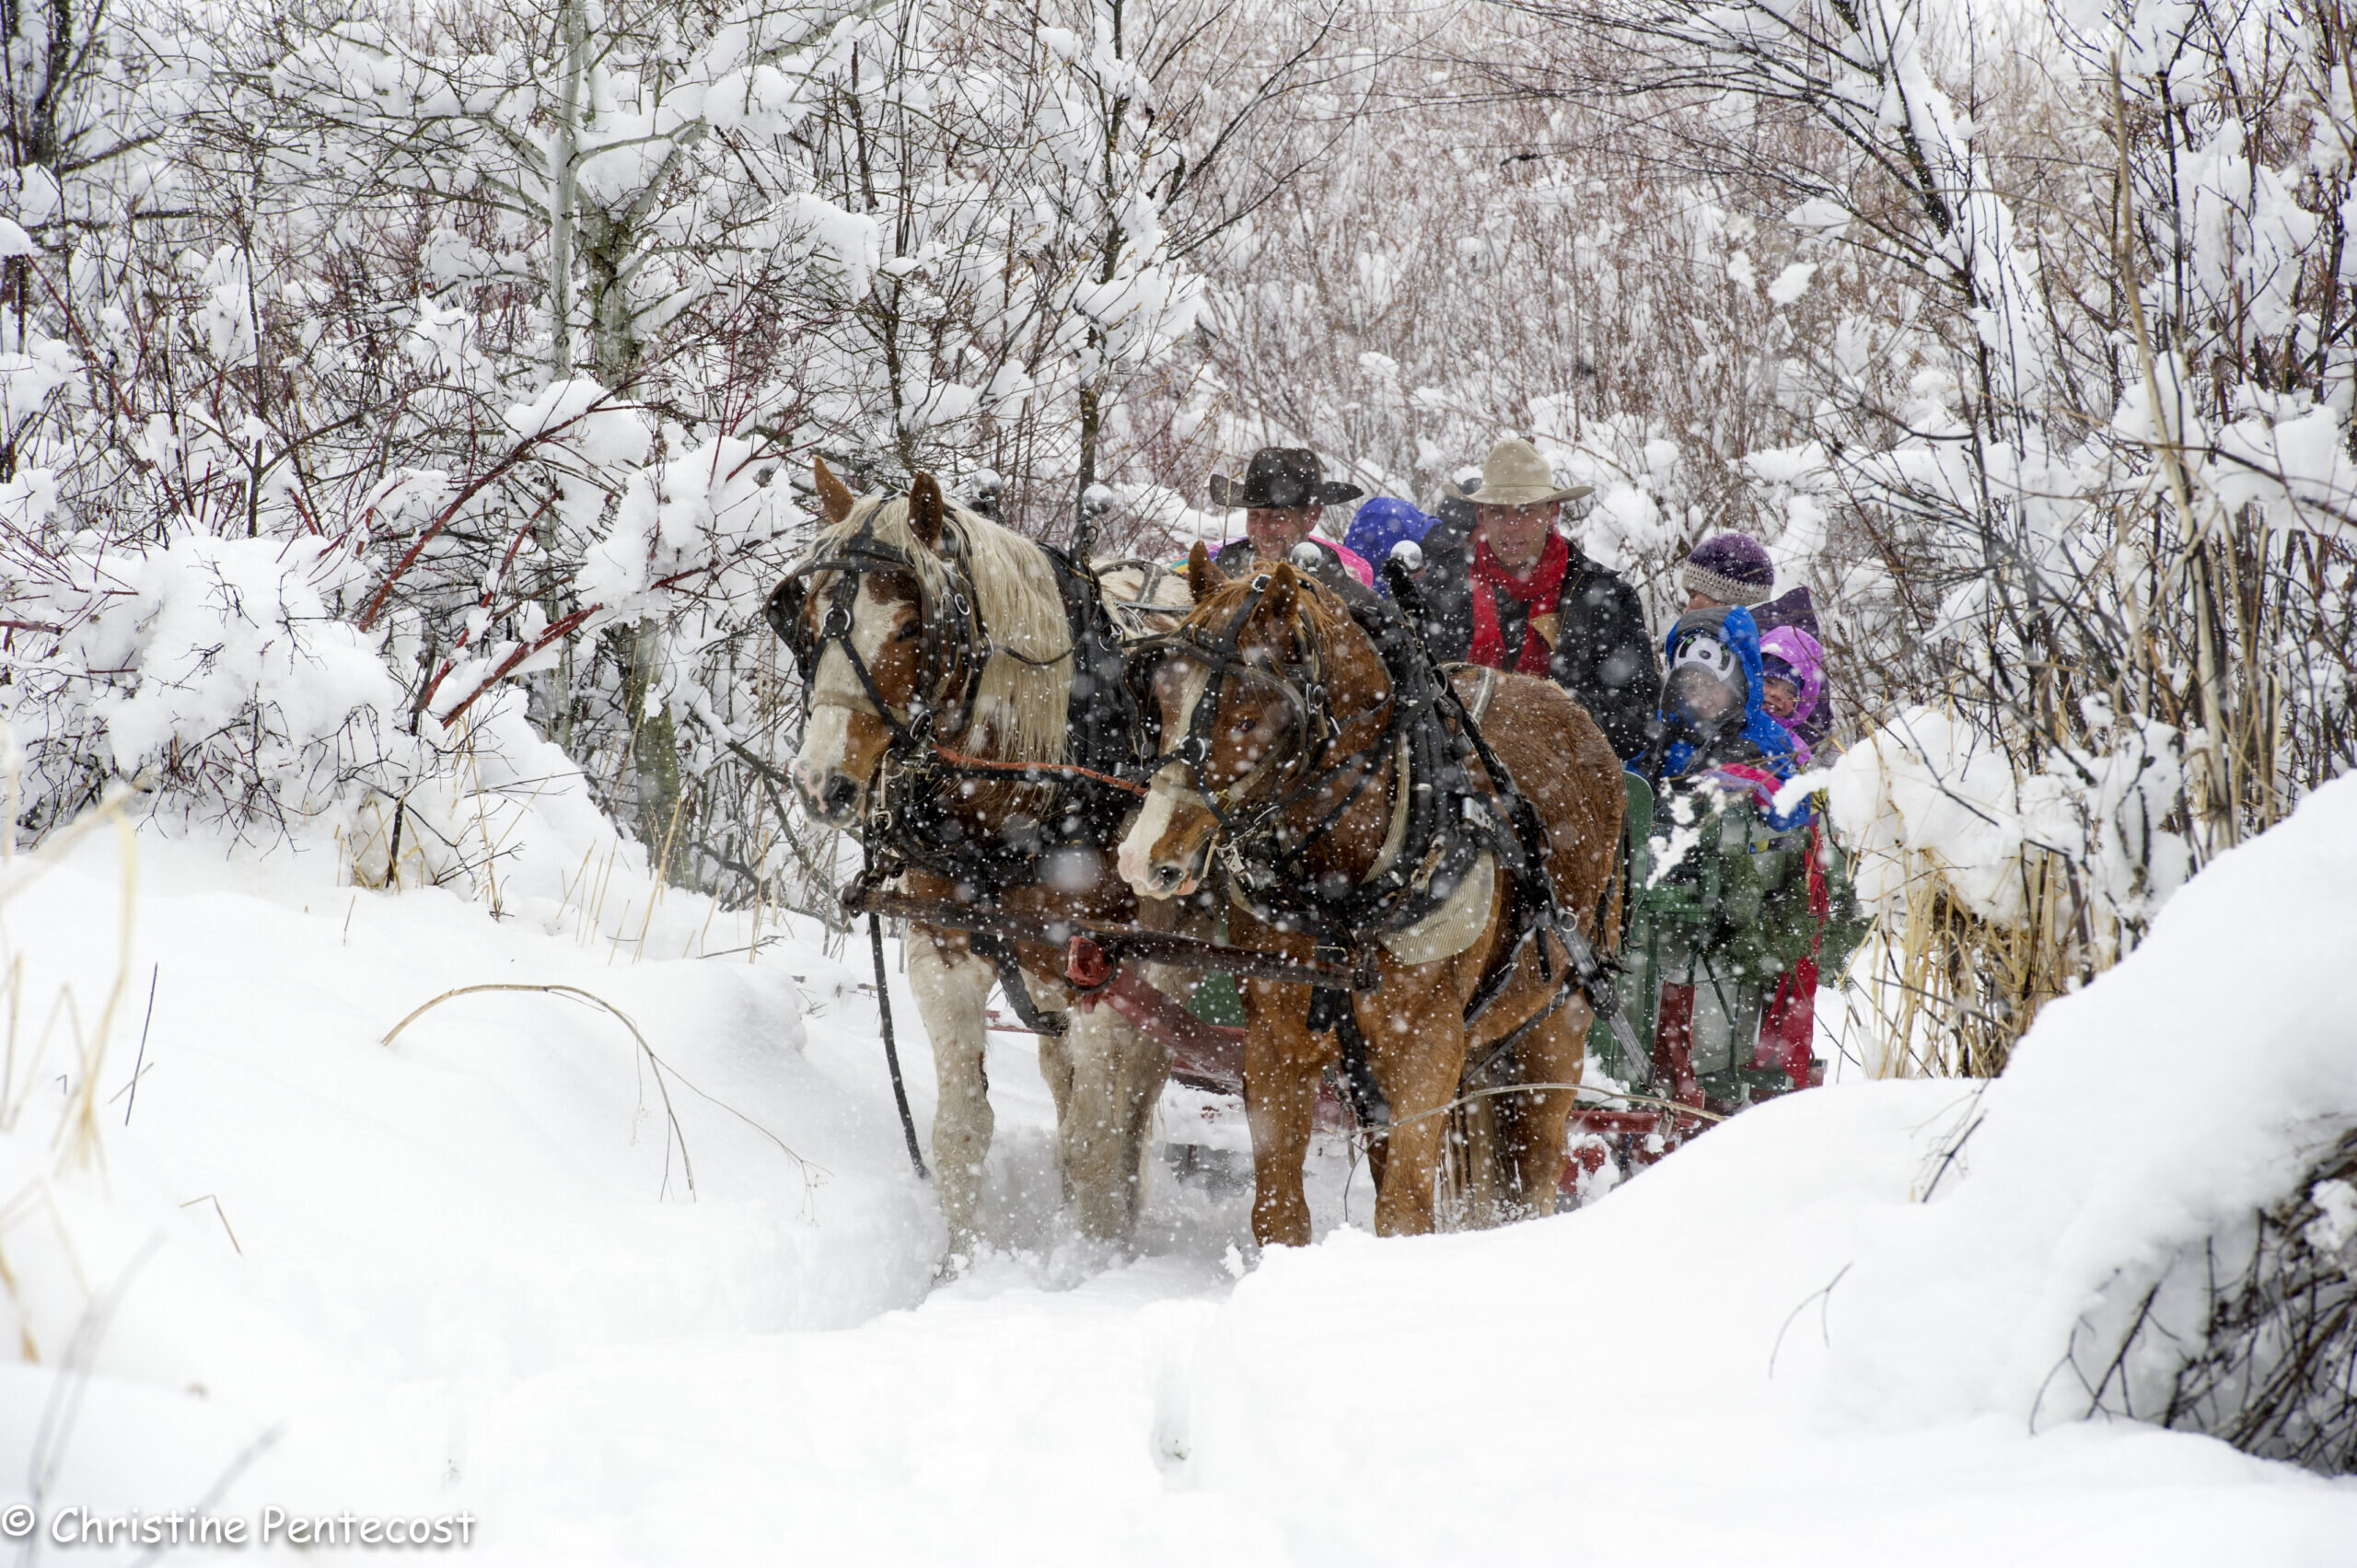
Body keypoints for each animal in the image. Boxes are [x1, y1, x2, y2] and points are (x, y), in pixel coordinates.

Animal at [771, 460, 1188, 1258]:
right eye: (803, 619)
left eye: (911, 625)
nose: (819, 782)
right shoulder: (943, 955)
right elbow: (962, 1131)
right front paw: (961, 1261)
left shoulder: (1108, 979)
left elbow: (1095, 1138)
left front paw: (1096, 1256)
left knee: (1133, 1097)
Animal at [1115, 545, 1625, 1245]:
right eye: (1162, 702)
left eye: (1247, 718)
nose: (1143, 860)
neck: (1343, 890)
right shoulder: (1276, 1042)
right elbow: (1279, 1210)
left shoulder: (1426, 1051)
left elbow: (1405, 1213)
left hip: (1553, 1030)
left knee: (1535, 1173)